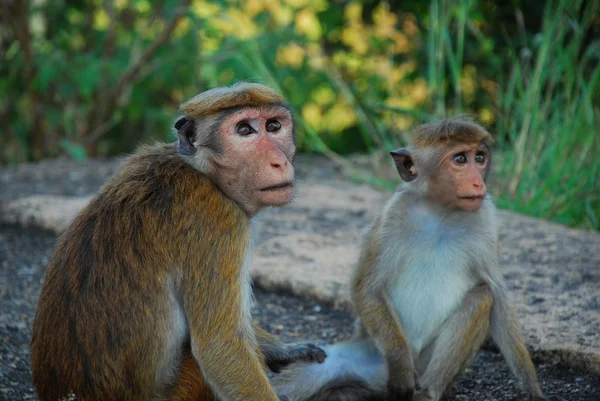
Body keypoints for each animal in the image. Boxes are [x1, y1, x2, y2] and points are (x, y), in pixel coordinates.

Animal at [30, 82, 326, 400]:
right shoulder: (220, 223)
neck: (203, 172)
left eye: (273, 126)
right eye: (244, 130)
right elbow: (221, 345)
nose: (279, 162)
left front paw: (285, 350)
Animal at [272, 117, 564, 400]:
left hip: (427, 366)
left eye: (480, 157)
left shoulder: (487, 219)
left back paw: (429, 392)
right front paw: (401, 371)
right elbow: (367, 288)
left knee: (482, 297)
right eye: (460, 159)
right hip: (370, 352)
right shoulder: (392, 216)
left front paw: (535, 392)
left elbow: (499, 298)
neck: (440, 213)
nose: (479, 182)